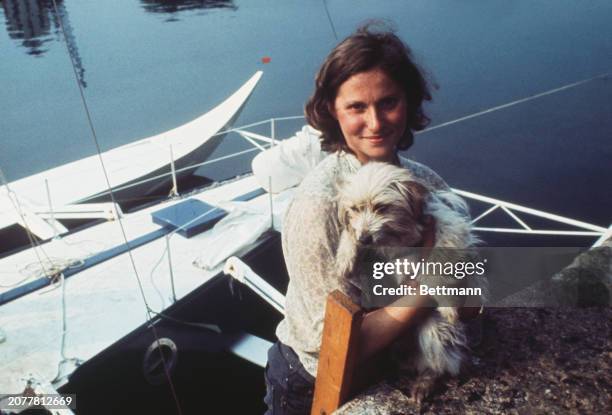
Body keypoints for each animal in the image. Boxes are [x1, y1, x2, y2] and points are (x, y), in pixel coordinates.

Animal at [334, 162, 478, 404]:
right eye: (354, 209)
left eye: (381, 208)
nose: (365, 238)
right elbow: (349, 231)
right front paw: (345, 257)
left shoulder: (448, 228)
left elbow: (441, 260)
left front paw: (448, 305)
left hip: (433, 330)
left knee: (438, 363)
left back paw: (424, 383)